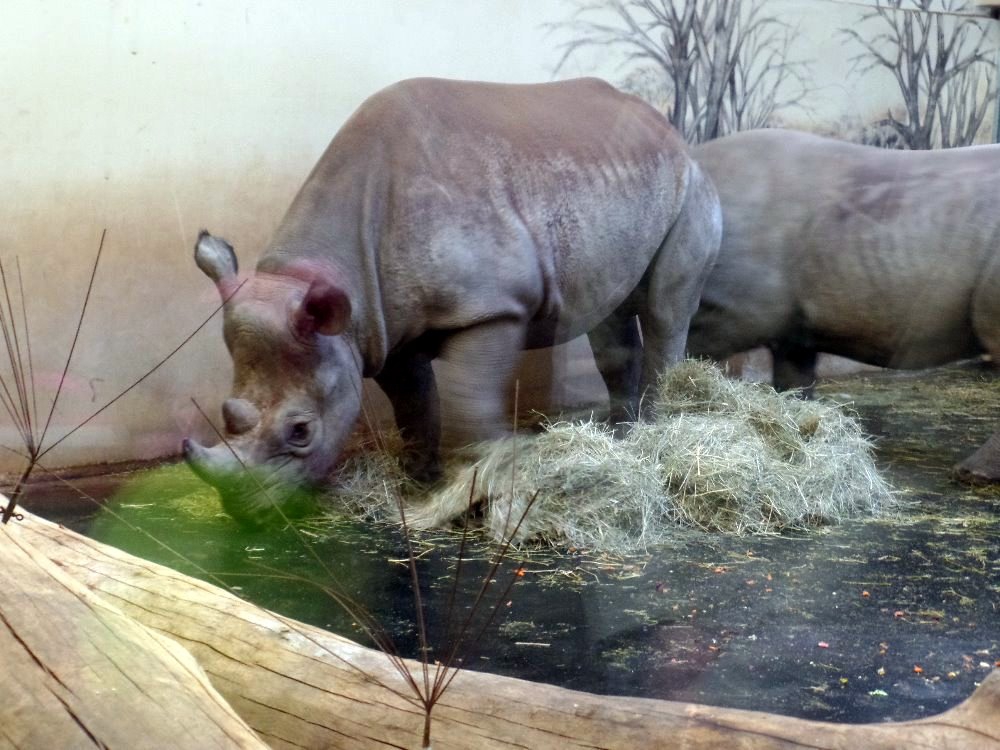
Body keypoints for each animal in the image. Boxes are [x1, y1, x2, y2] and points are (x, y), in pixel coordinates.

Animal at [183, 77, 722, 526]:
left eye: (300, 431)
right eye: (226, 414)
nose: (247, 514)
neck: (336, 268)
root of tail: (668, 130)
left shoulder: (492, 306)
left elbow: (468, 400)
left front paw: (491, 483)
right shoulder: (383, 325)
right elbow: (414, 404)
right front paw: (420, 481)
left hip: (691, 184)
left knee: (665, 310)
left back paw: (656, 433)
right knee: (610, 316)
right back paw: (622, 436)